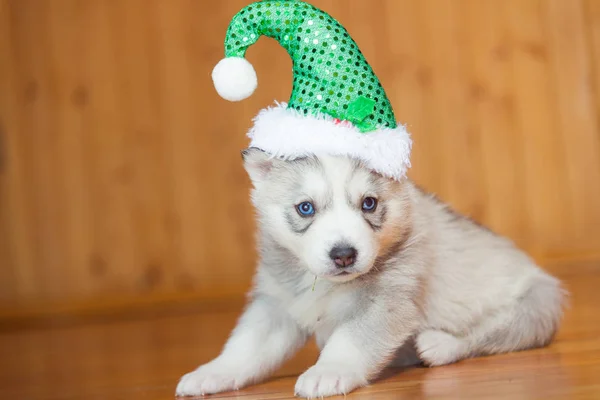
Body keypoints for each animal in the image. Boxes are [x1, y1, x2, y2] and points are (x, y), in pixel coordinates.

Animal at [176, 149, 564, 396]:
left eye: (369, 203)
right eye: (305, 208)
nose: (344, 255)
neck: (326, 284)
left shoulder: (386, 302)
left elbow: (350, 340)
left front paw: (328, 371)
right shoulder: (276, 306)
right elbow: (244, 347)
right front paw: (213, 373)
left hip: (536, 305)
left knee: (486, 336)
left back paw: (440, 345)